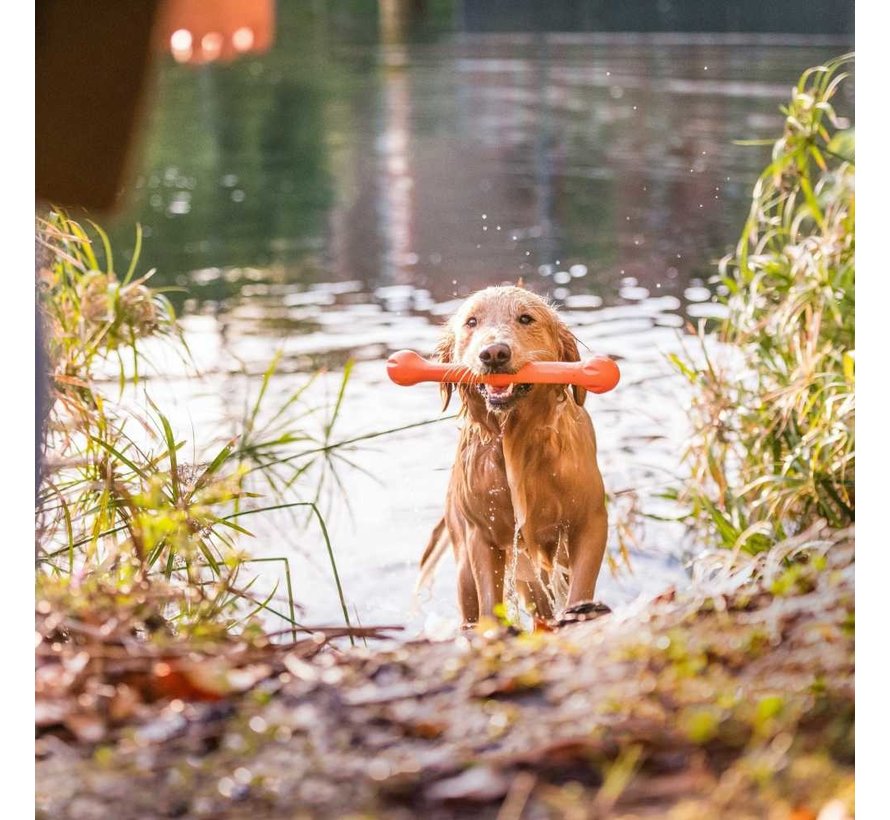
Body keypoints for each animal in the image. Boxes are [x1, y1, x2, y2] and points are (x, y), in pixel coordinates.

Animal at [420, 286, 608, 624]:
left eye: (525, 318)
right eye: (471, 322)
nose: (494, 353)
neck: (515, 442)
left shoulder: (590, 522)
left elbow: (581, 587)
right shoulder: (482, 536)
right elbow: (489, 602)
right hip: (467, 567)